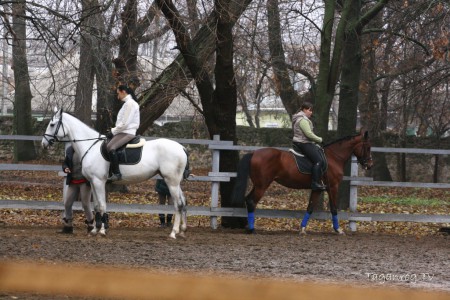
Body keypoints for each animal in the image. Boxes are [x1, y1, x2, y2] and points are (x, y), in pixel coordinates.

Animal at [41, 108, 189, 239]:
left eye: (52, 124)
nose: (43, 143)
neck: (90, 146)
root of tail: (181, 147)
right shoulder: (93, 182)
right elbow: (96, 206)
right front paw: (95, 230)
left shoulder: (99, 181)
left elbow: (102, 205)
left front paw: (102, 230)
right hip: (175, 182)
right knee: (183, 202)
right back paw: (182, 231)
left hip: (171, 182)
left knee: (178, 204)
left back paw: (173, 233)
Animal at [232, 129, 372, 234]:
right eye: (368, 147)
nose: (370, 165)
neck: (334, 157)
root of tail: (254, 153)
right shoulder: (333, 187)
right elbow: (333, 208)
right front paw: (338, 230)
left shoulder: (318, 188)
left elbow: (310, 207)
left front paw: (303, 228)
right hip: (262, 185)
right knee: (251, 201)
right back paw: (252, 229)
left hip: (258, 184)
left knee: (248, 200)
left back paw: (248, 226)